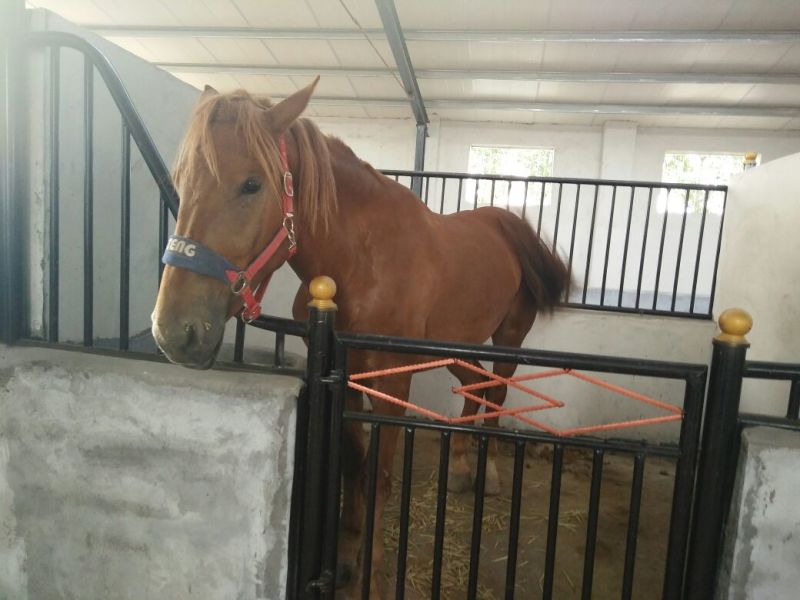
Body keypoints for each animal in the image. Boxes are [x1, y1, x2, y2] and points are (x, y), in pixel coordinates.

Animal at [151, 78, 570, 598]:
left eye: (251, 184)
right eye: (181, 180)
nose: (174, 330)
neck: (364, 260)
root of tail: (507, 224)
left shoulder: (392, 382)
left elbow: (379, 476)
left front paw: (369, 570)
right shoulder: (347, 375)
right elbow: (354, 465)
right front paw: (347, 551)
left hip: (508, 340)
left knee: (496, 393)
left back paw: (488, 472)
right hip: (456, 345)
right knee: (474, 386)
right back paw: (460, 467)